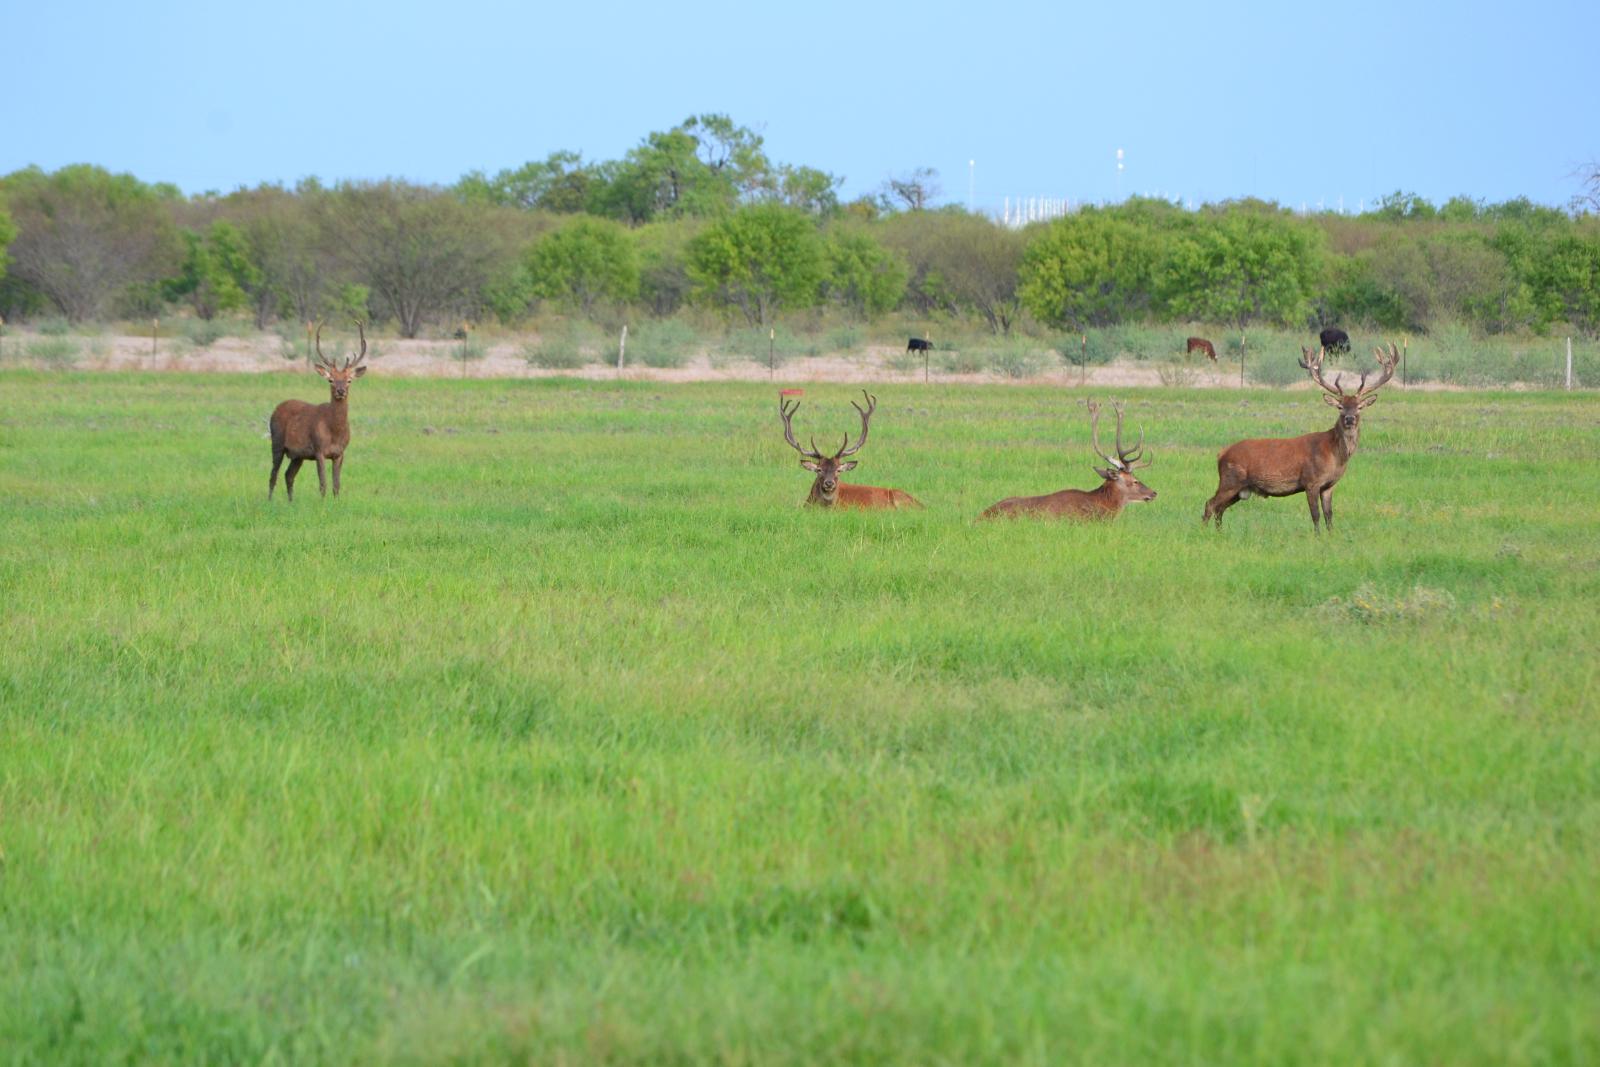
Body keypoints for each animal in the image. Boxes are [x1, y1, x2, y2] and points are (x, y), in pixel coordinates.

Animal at [268, 320, 369, 501]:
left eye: (349, 380)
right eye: (331, 380)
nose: (340, 391)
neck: (334, 431)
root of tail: (276, 408)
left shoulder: (340, 453)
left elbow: (336, 485)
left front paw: (336, 503)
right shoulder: (319, 450)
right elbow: (323, 484)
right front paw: (322, 504)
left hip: (297, 455)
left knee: (288, 475)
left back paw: (291, 502)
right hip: (277, 441)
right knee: (273, 475)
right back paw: (270, 501)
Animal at [1201, 342, 1399, 532]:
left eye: (1359, 407)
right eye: (1340, 407)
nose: (1349, 418)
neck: (1335, 455)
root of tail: (1221, 454)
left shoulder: (1329, 486)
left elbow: (1329, 515)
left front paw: (1331, 536)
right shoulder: (1311, 480)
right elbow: (1316, 515)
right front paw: (1317, 537)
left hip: (1241, 489)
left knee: (1219, 508)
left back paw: (1219, 532)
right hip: (1231, 479)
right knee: (1210, 504)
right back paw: (1204, 532)